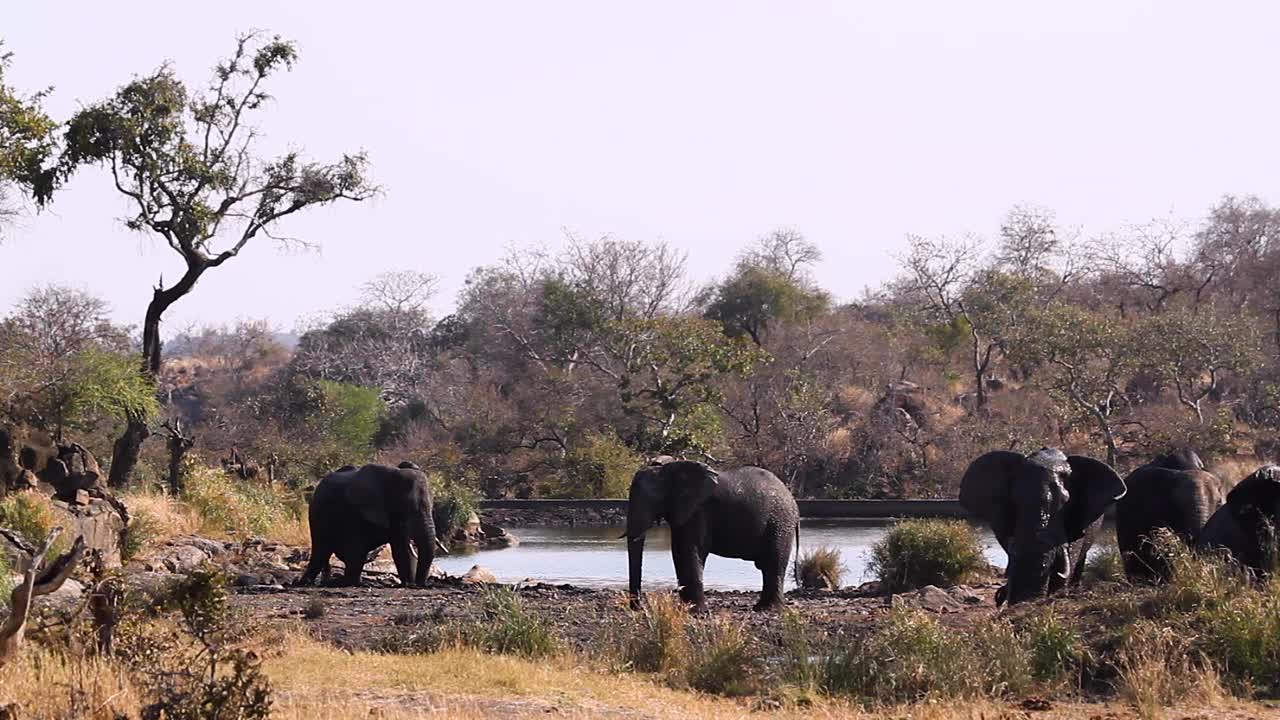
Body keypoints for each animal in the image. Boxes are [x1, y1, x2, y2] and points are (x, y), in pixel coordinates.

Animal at [294, 461, 445, 586]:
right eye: (408, 507)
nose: (419, 584)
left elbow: (402, 547)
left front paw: (408, 583)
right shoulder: (357, 510)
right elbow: (398, 548)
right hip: (317, 514)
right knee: (323, 549)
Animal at [622, 456, 793, 607]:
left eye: (652, 499)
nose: (638, 608)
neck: (670, 468)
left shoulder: (699, 509)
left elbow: (690, 550)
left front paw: (696, 612)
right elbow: (678, 551)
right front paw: (686, 609)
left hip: (780, 522)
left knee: (773, 564)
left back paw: (768, 608)